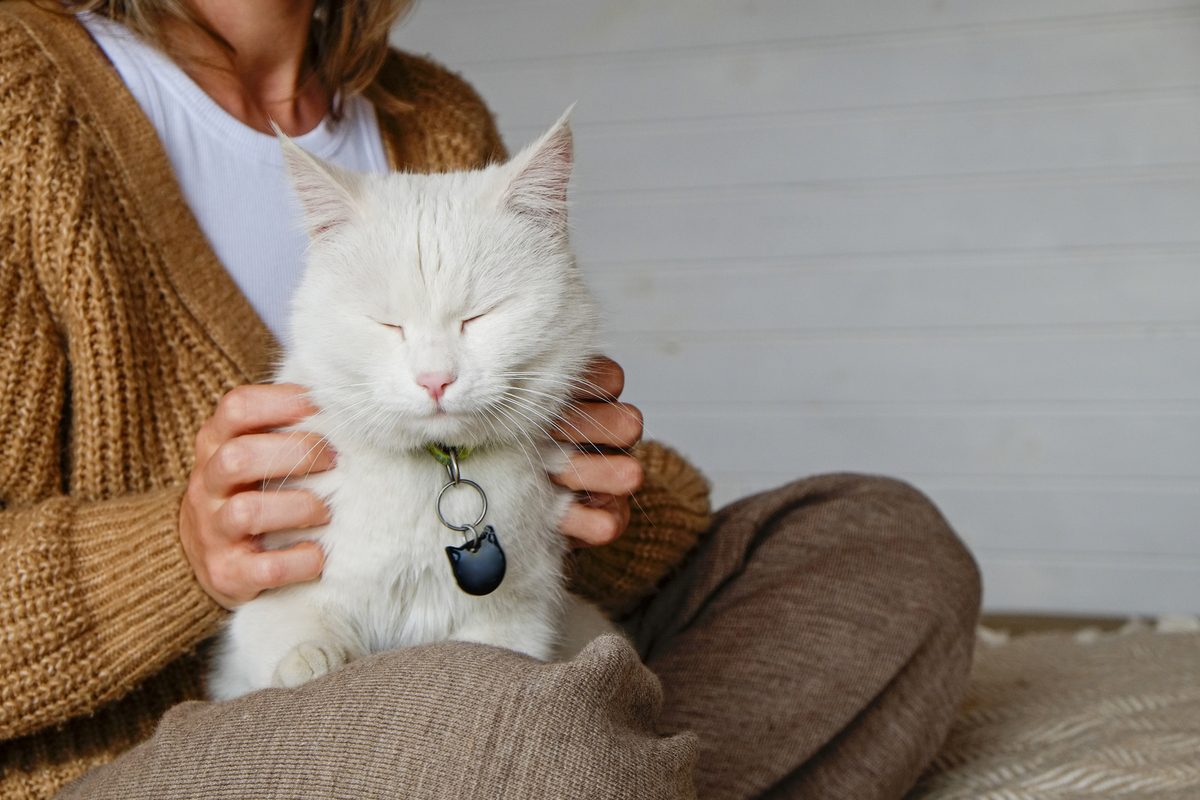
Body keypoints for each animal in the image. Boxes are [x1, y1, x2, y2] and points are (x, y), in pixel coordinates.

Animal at [207, 110, 614, 700]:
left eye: (479, 317)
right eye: (387, 324)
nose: (435, 380)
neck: (438, 471)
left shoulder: (512, 623)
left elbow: (491, 652)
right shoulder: (273, 607)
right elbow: (297, 636)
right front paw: (313, 662)